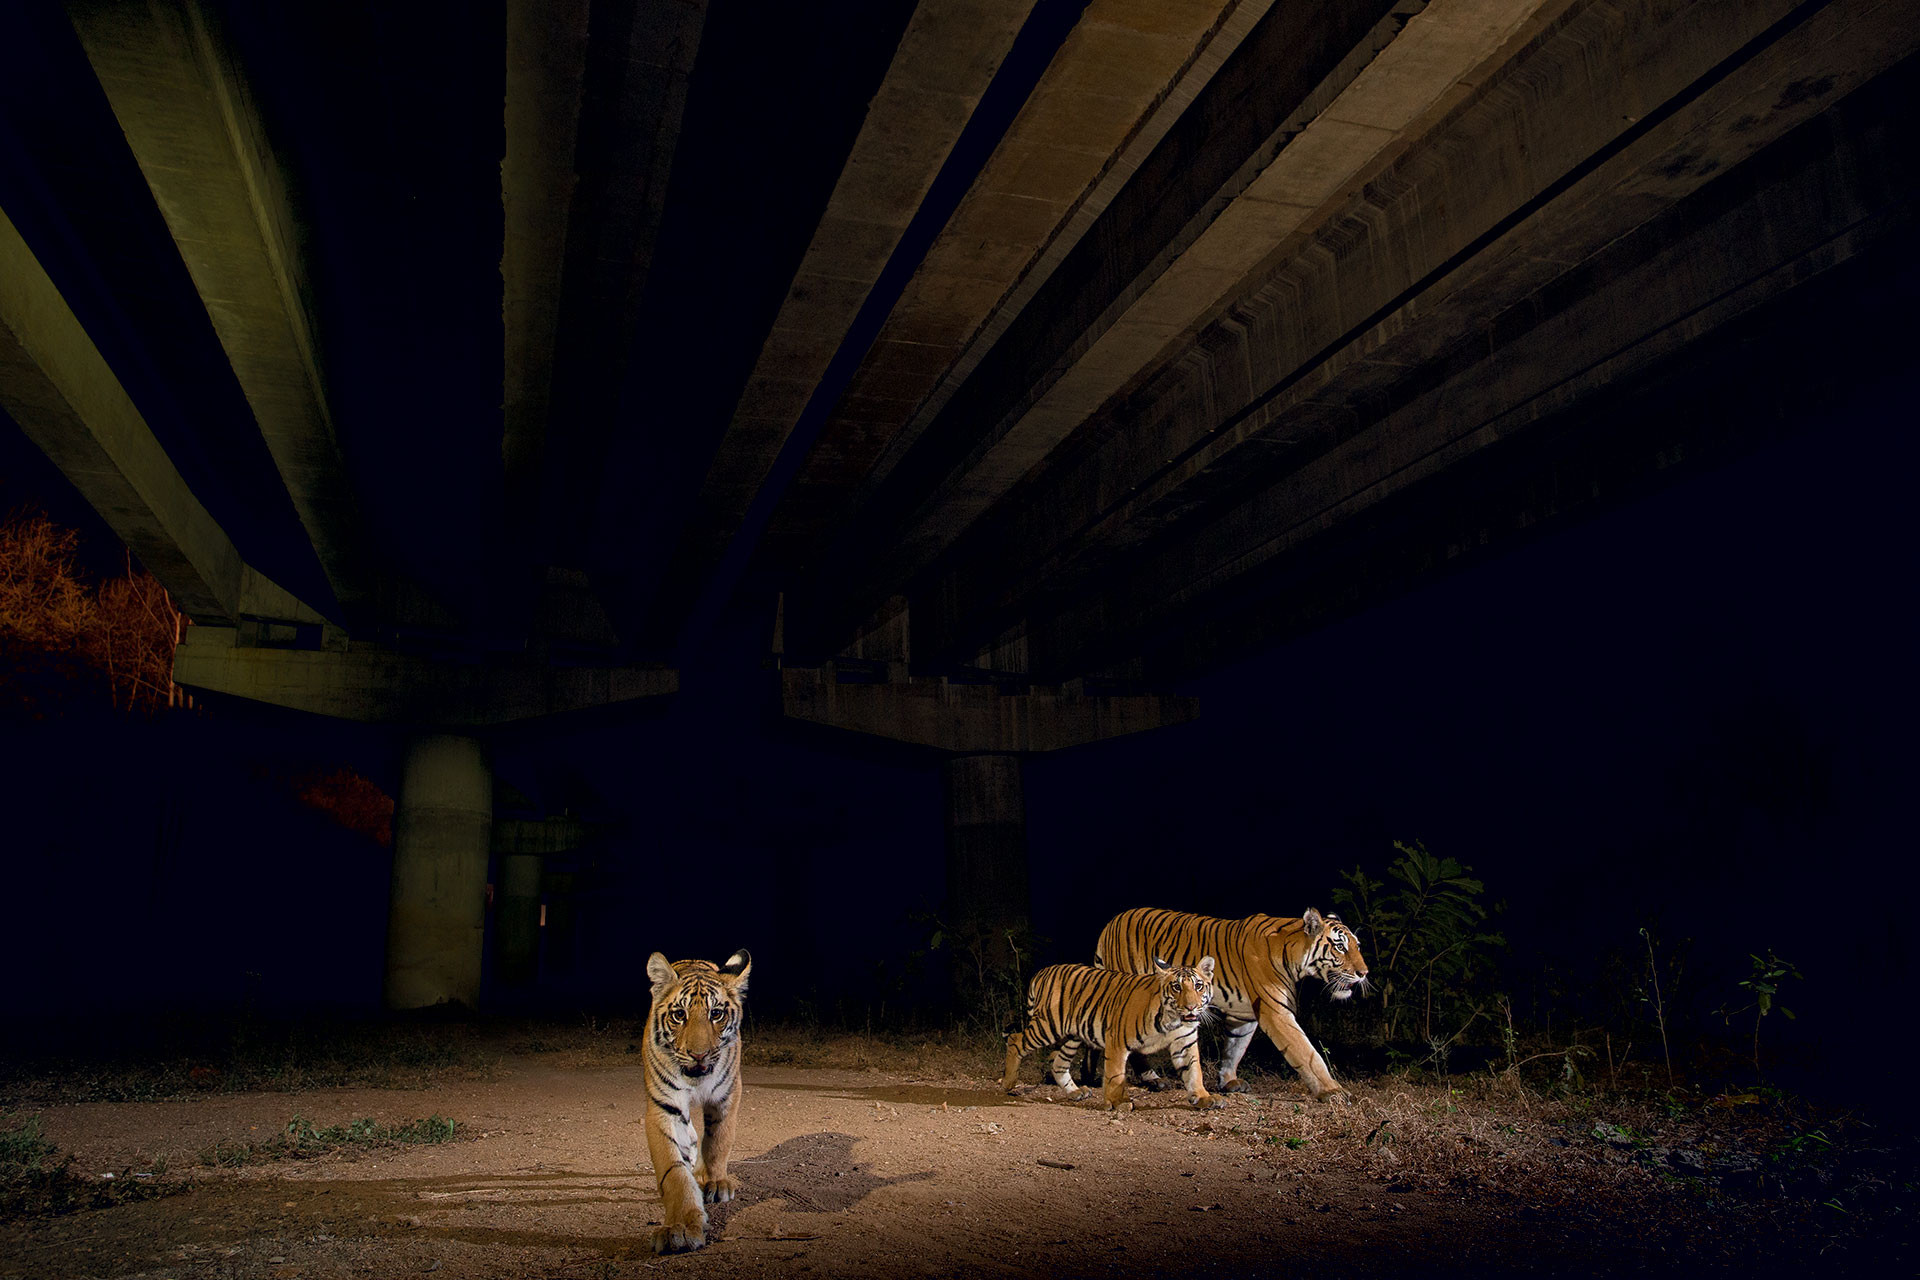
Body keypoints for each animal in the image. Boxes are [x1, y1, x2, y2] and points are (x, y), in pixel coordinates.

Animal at [641, 949, 751, 1254]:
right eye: (680, 1014)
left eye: (716, 1013)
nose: (698, 1054)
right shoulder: (664, 1106)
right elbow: (674, 1171)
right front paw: (678, 1228)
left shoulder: (727, 1094)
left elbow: (718, 1141)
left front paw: (714, 1182)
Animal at [1002, 957, 1222, 1111]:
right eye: (1176, 987)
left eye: (1198, 986)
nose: (1191, 1007)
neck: (1172, 1019)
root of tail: (1042, 972)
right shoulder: (1117, 1039)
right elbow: (1115, 1074)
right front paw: (1117, 1102)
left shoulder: (1184, 1043)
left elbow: (1194, 1071)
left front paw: (1204, 1097)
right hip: (1048, 1026)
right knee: (1015, 1040)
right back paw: (1008, 1083)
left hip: (1072, 1036)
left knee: (1058, 1063)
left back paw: (1075, 1092)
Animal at [1096, 907, 1366, 1102]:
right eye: (1340, 947)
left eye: (1357, 946)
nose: (1364, 973)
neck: (1294, 956)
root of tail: (1111, 922)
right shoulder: (1276, 1012)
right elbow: (1308, 1054)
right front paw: (1333, 1091)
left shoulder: (1244, 1016)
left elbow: (1235, 1050)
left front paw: (1228, 1082)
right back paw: (1152, 1079)